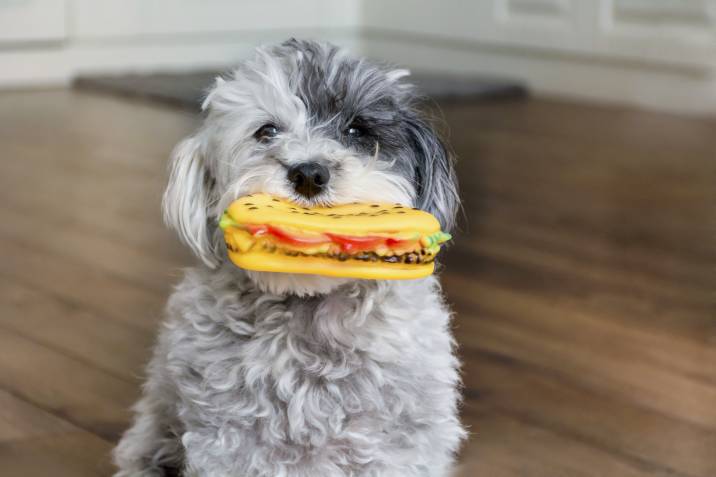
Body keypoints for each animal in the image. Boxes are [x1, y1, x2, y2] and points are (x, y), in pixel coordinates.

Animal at [113, 39, 464, 474]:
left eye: (356, 130)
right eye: (267, 132)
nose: (309, 174)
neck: (311, 308)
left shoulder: (401, 443)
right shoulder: (229, 440)